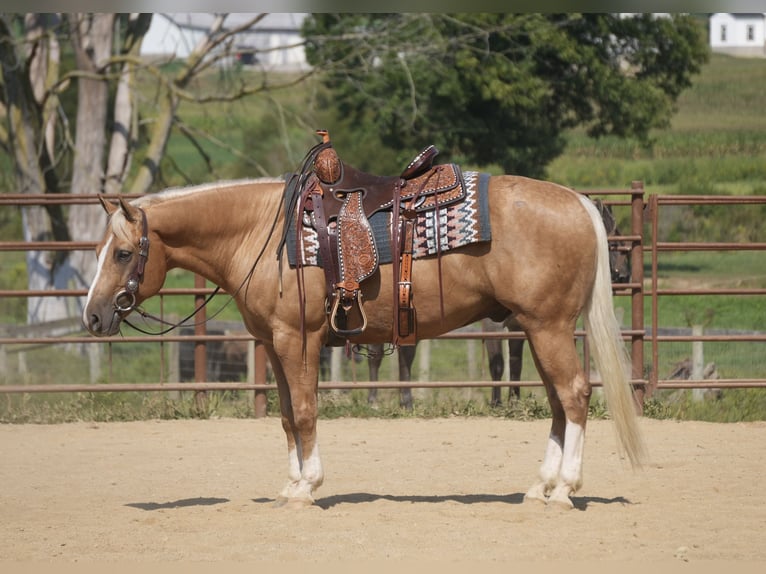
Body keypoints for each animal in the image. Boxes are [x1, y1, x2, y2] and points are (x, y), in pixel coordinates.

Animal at [82, 175, 646, 509]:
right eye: (98, 250)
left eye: (123, 253)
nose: (93, 315)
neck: (263, 233)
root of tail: (576, 201)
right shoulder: (273, 343)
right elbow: (286, 416)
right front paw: (292, 484)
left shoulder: (297, 340)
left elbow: (305, 412)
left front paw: (309, 487)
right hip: (536, 327)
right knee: (557, 402)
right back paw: (540, 486)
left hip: (548, 327)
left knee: (574, 395)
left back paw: (565, 490)